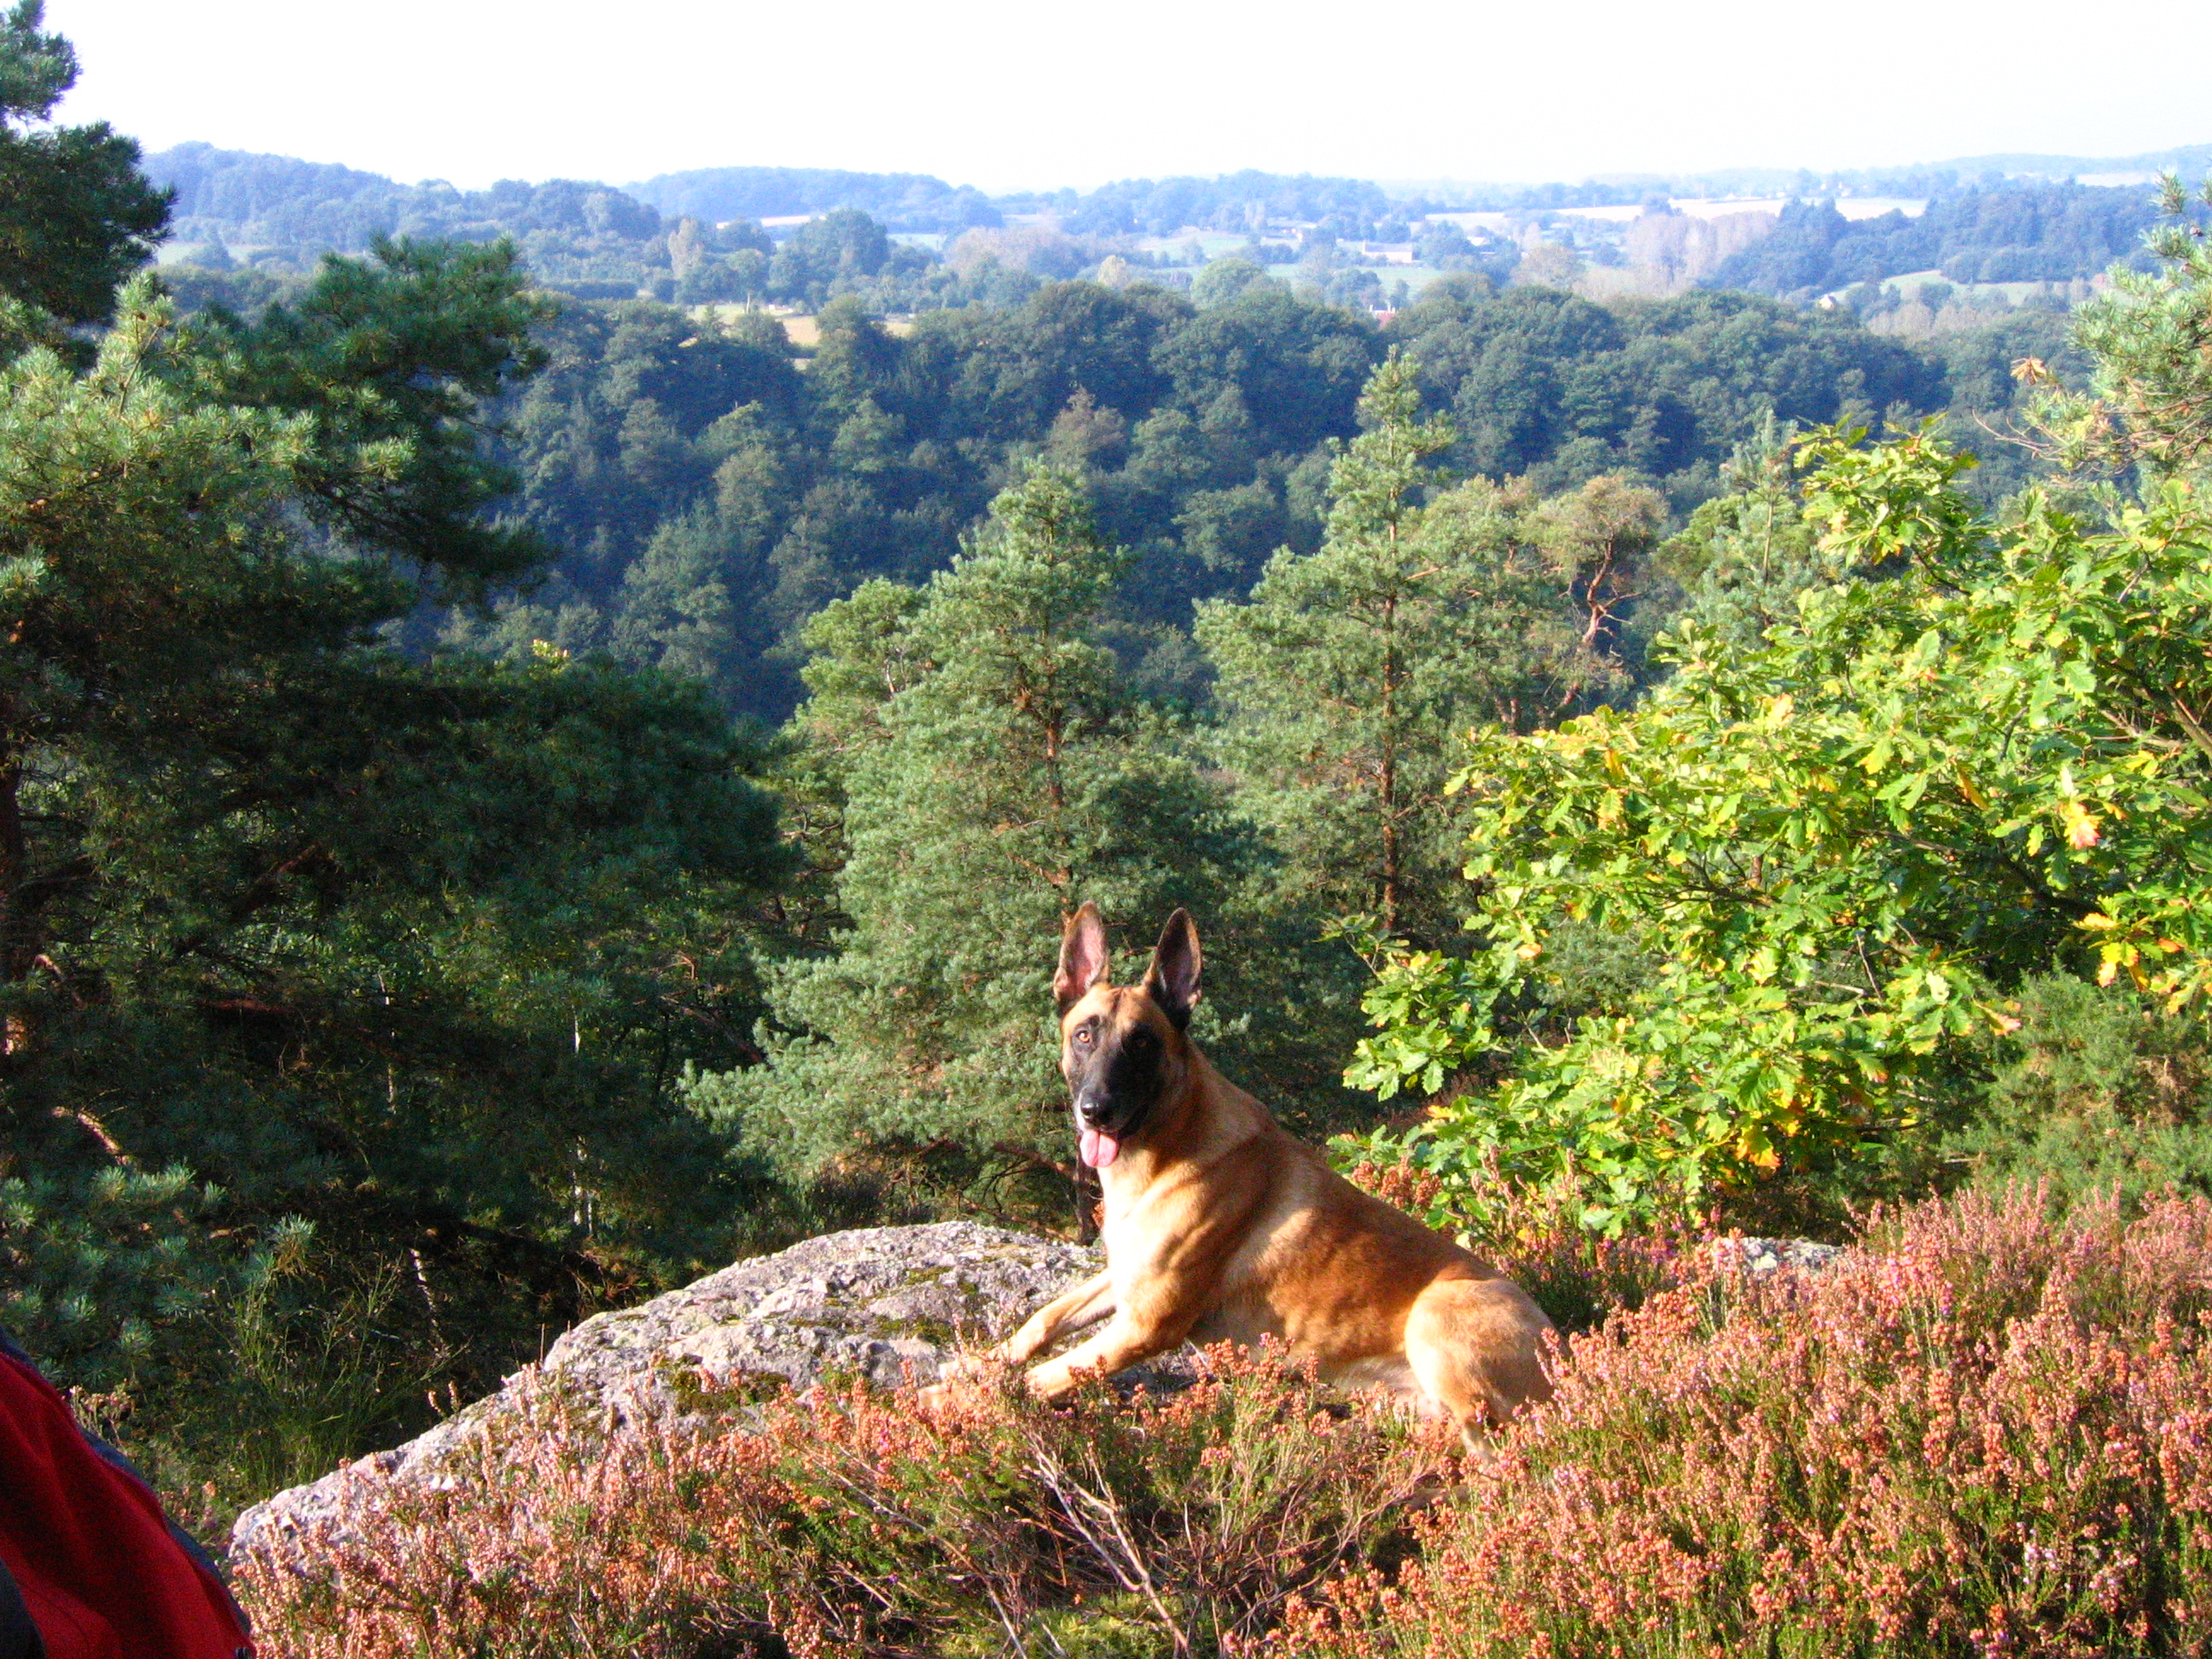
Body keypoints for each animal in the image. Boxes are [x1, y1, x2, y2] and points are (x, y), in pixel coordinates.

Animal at [933, 903, 1556, 1442]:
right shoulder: (1125, 1278)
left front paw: (952, 1402)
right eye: (1084, 1035)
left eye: (1142, 1043)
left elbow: (1043, 1377)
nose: (1096, 1111)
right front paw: (977, 1365)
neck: (1166, 1152)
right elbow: (1041, 1321)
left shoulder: (1145, 1325)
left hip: (1436, 1316)